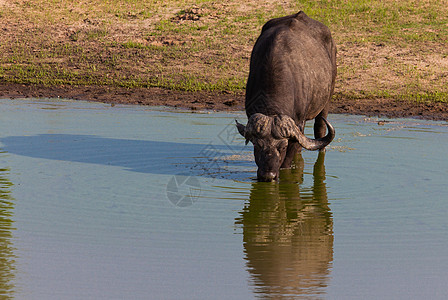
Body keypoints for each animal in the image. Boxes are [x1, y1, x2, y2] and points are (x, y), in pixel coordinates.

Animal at [234, 11, 336, 180]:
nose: (268, 176)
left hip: (327, 100)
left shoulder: (298, 124)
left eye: (282, 147)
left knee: (320, 130)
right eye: (257, 145)